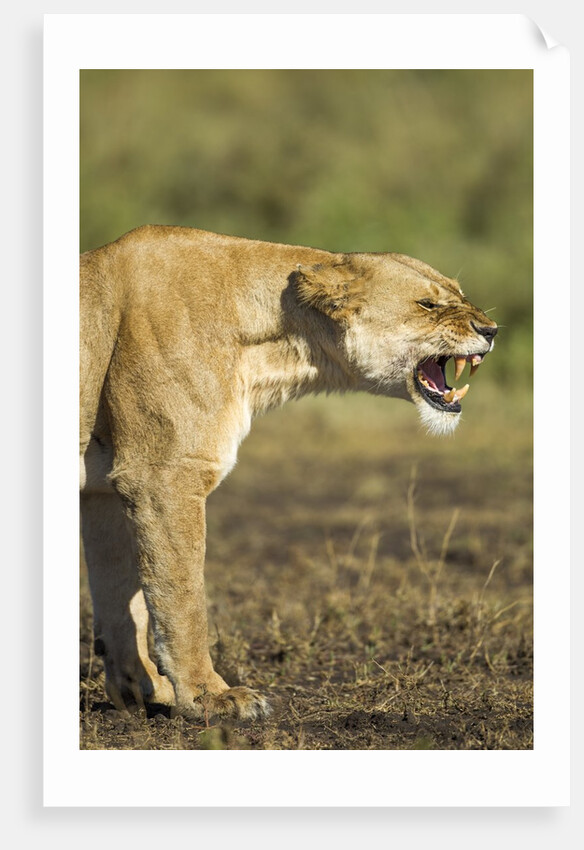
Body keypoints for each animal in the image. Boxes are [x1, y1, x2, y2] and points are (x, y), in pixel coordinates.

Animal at [80, 225, 497, 720]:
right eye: (427, 304)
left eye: (460, 294)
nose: (491, 330)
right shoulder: (162, 474)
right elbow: (182, 595)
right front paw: (209, 697)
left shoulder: (106, 489)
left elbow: (121, 597)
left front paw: (143, 691)